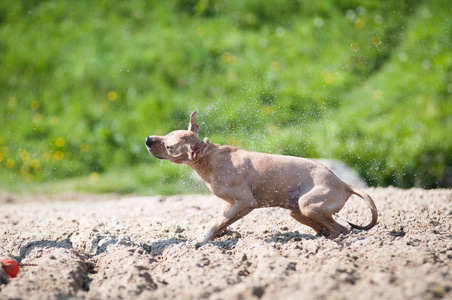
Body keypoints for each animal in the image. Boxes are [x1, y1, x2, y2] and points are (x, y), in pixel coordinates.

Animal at [146, 110, 378, 244]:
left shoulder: (246, 202)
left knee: (340, 229)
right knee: (332, 227)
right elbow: (221, 220)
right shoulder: (229, 203)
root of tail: (344, 184)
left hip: (308, 205)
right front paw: (222, 235)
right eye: (168, 133)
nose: (148, 139)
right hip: (298, 210)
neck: (210, 158)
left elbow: (217, 222)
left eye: (170, 147)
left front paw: (204, 242)